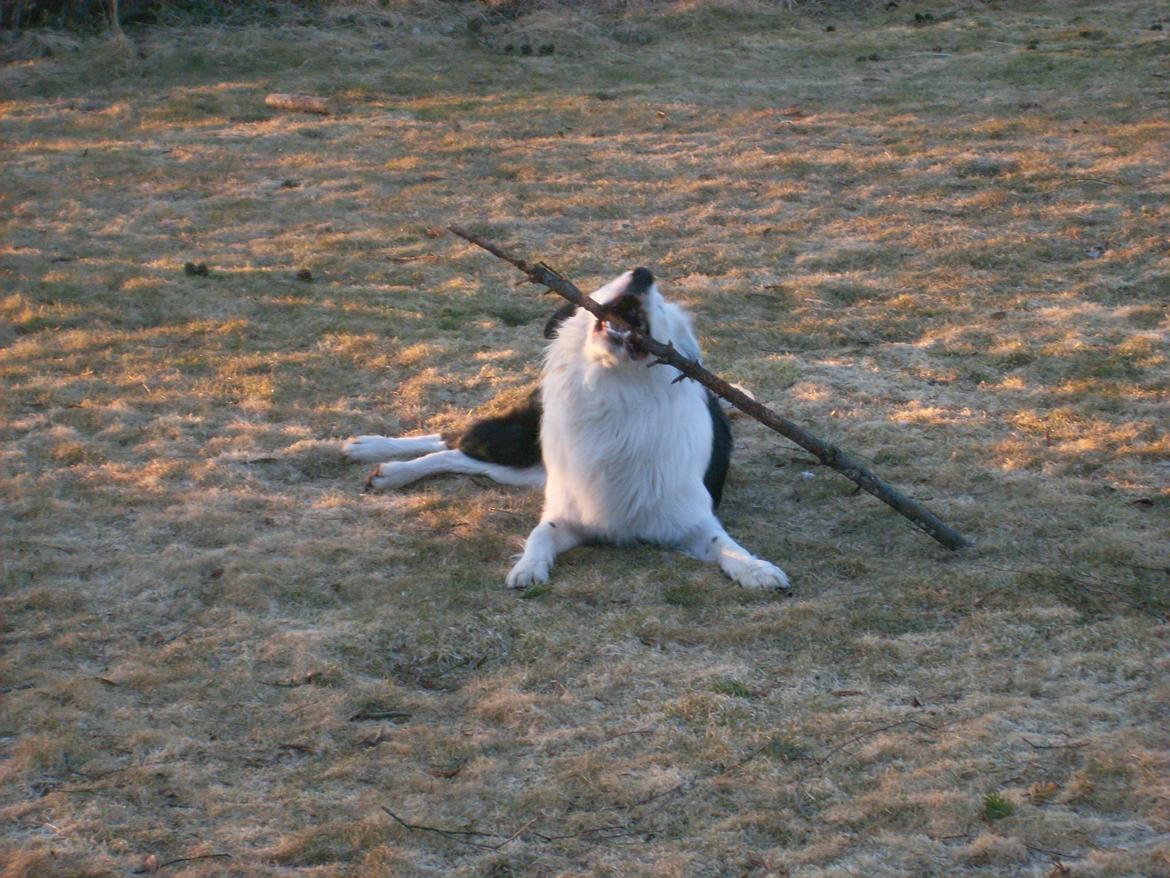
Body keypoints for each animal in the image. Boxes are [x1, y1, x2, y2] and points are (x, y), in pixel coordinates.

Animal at [341, 271, 790, 594]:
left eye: (661, 304)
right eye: (608, 281)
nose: (643, 274)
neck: (615, 398)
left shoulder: (692, 517)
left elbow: (726, 545)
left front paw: (756, 569)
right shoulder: (565, 511)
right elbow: (540, 534)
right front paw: (528, 566)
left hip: (529, 469)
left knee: (460, 456)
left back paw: (386, 469)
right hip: (520, 444)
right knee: (453, 440)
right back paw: (376, 455)